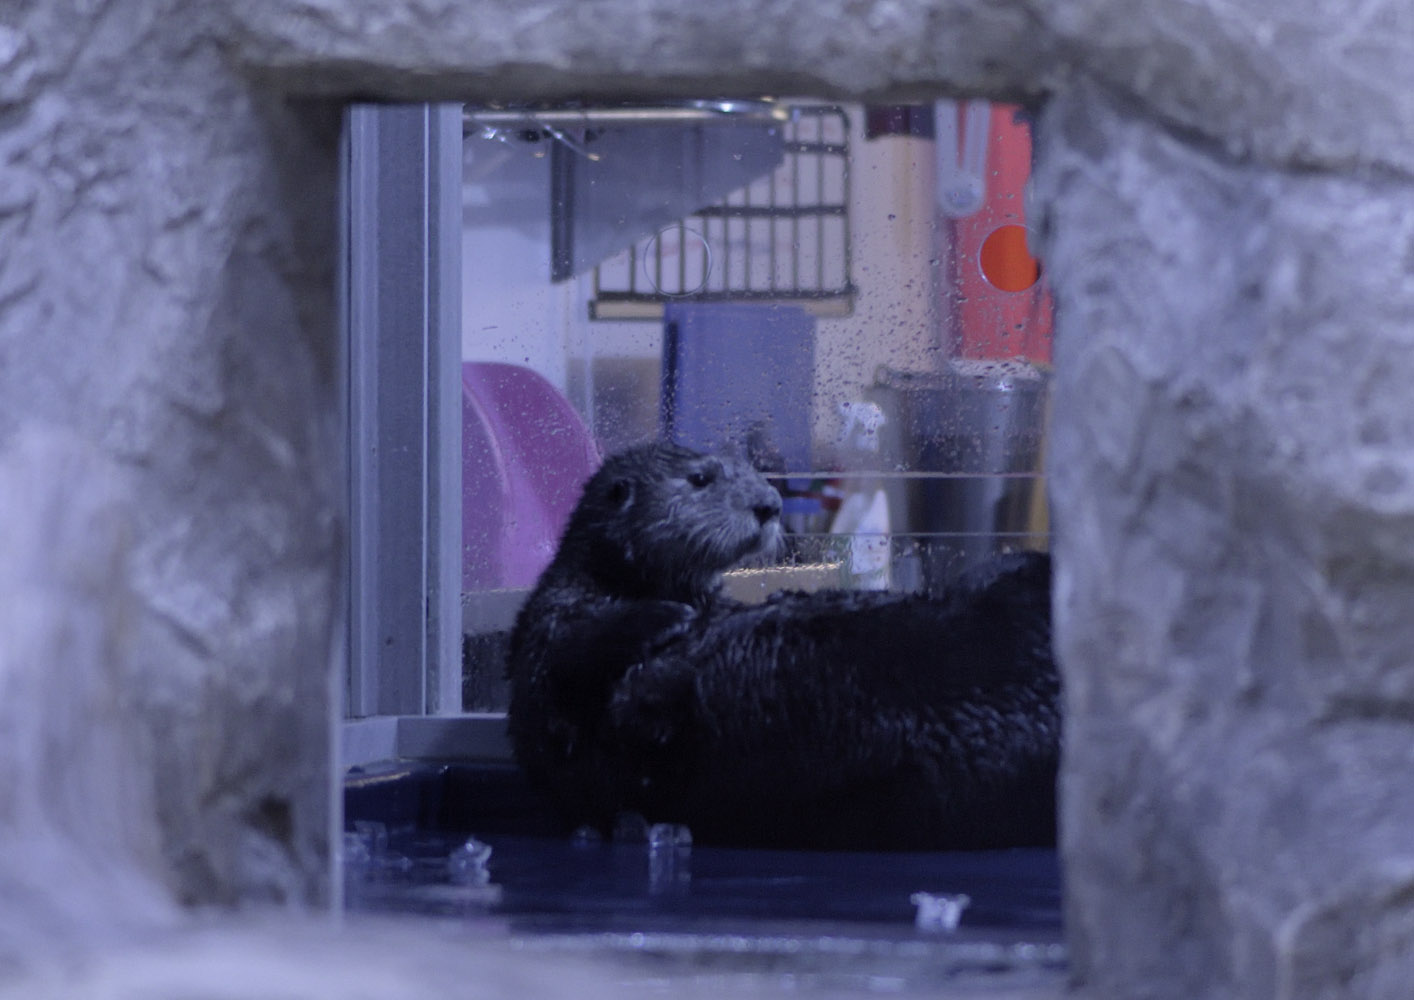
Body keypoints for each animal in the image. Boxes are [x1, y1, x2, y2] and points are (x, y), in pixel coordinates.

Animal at [506, 441, 1059, 851]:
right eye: (700, 479)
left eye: (754, 474)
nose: (769, 506)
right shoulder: (555, 621)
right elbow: (570, 657)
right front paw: (668, 617)